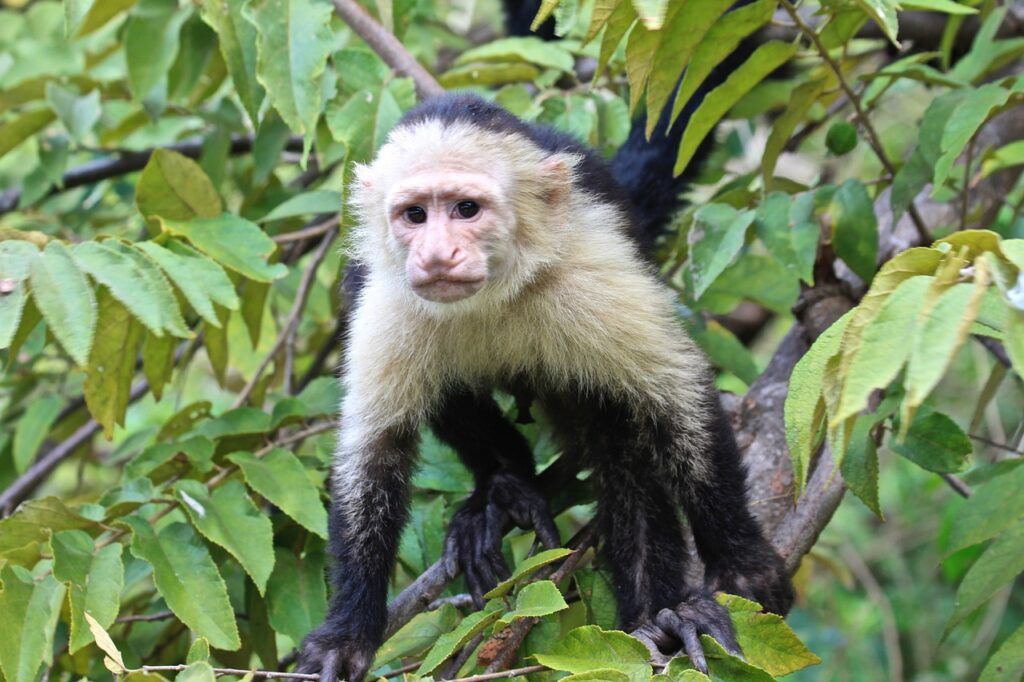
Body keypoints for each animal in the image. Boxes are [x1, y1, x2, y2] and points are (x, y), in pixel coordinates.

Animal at [296, 2, 790, 675]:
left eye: (467, 209)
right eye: (415, 215)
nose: (437, 254)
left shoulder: (590, 270)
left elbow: (677, 399)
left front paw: (742, 560)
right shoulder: (390, 301)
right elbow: (373, 455)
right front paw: (346, 633)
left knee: (620, 425)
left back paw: (657, 613)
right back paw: (503, 481)